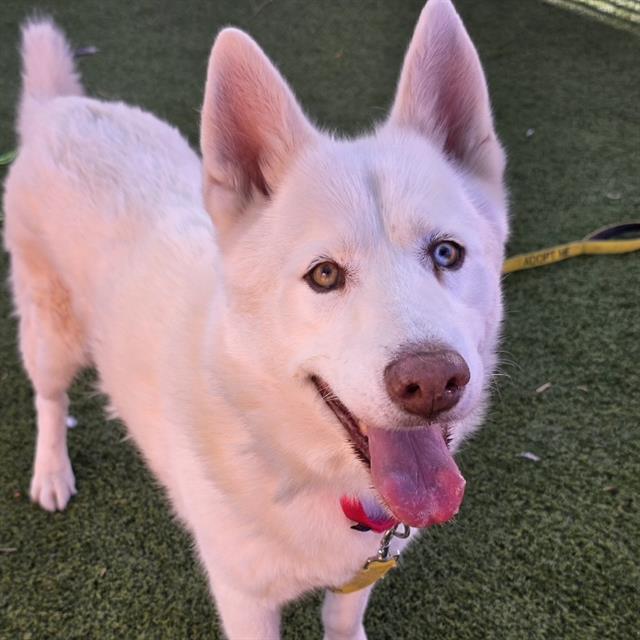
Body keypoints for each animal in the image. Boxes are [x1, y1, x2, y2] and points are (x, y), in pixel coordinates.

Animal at [3, 0, 507, 637]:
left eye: (446, 253)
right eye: (324, 275)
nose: (434, 381)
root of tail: (57, 108)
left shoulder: (359, 574)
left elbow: (343, 619)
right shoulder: (244, 598)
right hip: (52, 333)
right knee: (49, 397)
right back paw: (51, 472)